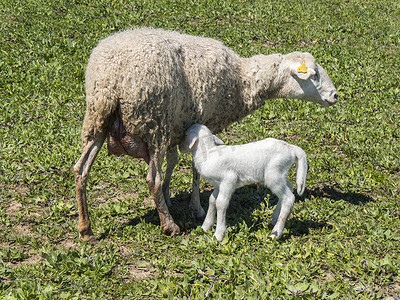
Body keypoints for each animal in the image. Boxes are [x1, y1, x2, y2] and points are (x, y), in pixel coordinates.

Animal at [180, 124, 308, 241]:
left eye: (185, 135)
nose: (180, 148)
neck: (208, 154)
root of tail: (290, 147)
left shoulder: (228, 180)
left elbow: (220, 203)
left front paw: (218, 235)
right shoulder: (218, 184)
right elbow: (212, 200)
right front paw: (205, 227)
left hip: (273, 174)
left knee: (288, 198)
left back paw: (275, 234)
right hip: (279, 173)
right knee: (289, 187)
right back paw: (274, 218)